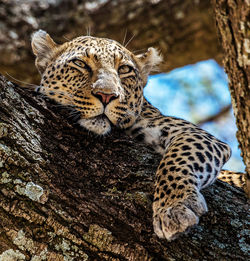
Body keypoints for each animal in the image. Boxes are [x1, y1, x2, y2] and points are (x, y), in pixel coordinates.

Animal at [30, 30, 245, 240]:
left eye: (124, 69)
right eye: (80, 64)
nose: (107, 95)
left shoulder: (194, 133)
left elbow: (177, 159)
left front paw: (174, 206)